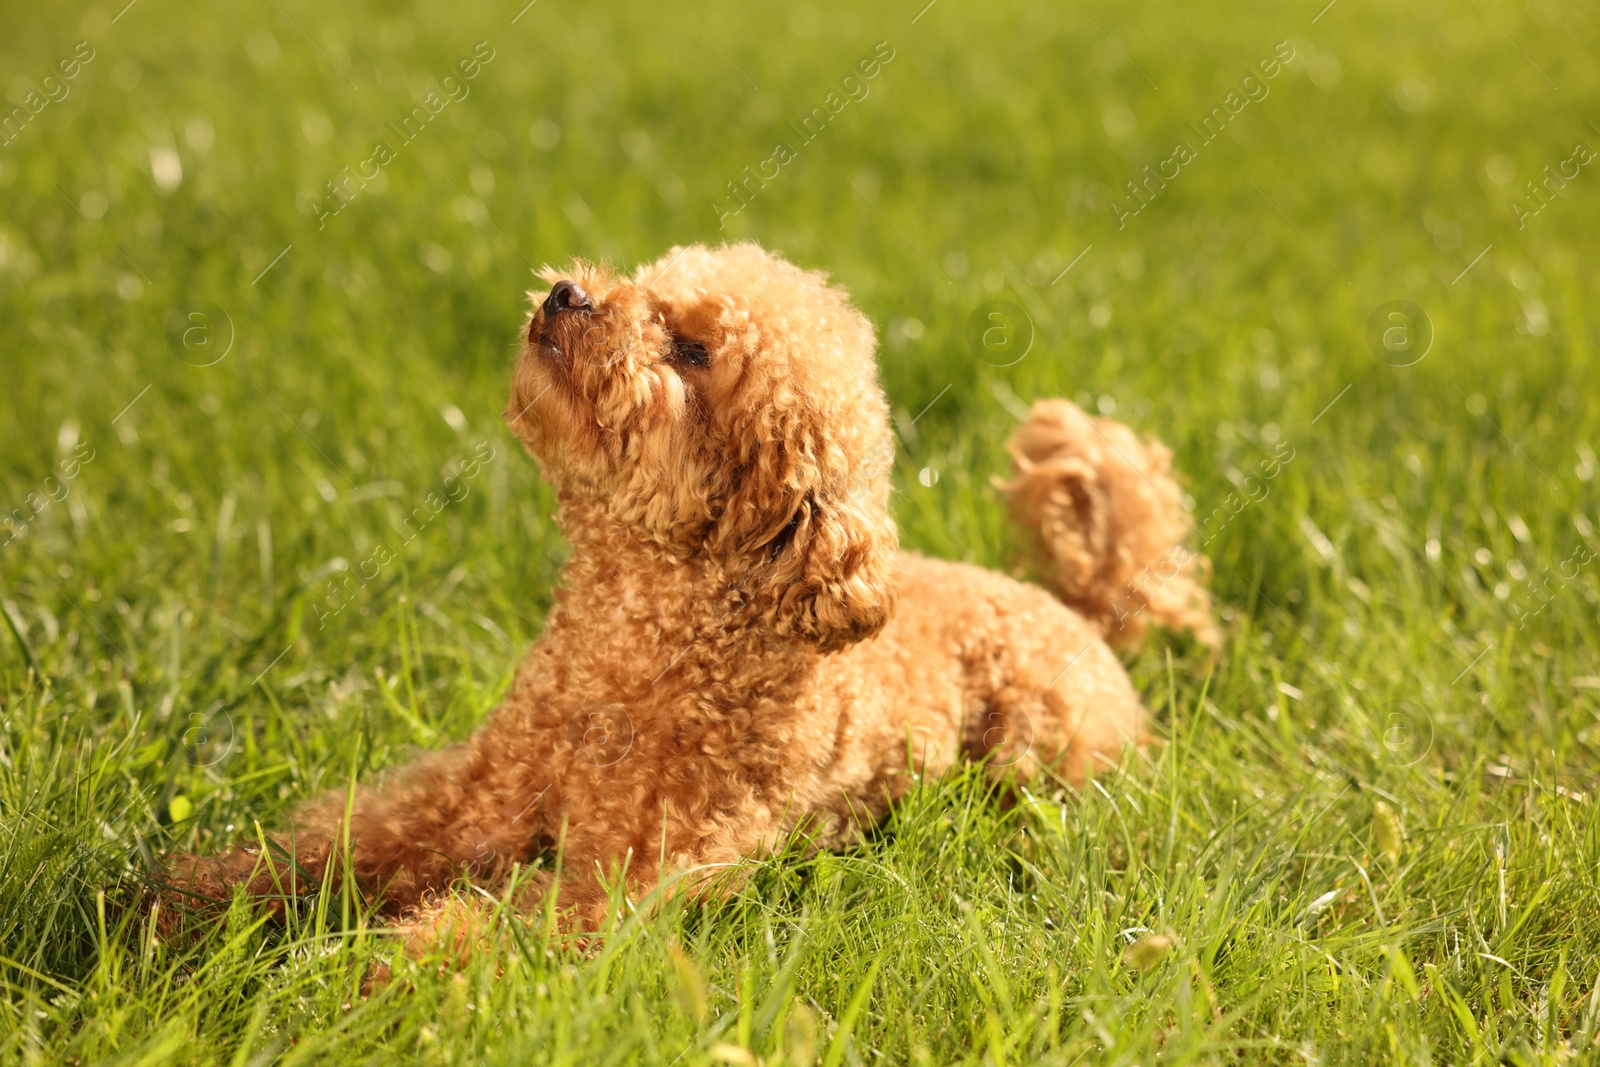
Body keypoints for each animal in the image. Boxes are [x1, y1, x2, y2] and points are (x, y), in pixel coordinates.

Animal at [165, 246, 1209, 927]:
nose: (569, 292)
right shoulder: (470, 799)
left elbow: (500, 930)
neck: (629, 645)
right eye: (649, 290)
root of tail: (1082, 613)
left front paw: (385, 978)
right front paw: (191, 897)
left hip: (1040, 750)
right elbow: (339, 844)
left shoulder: (634, 872)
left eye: (696, 352)